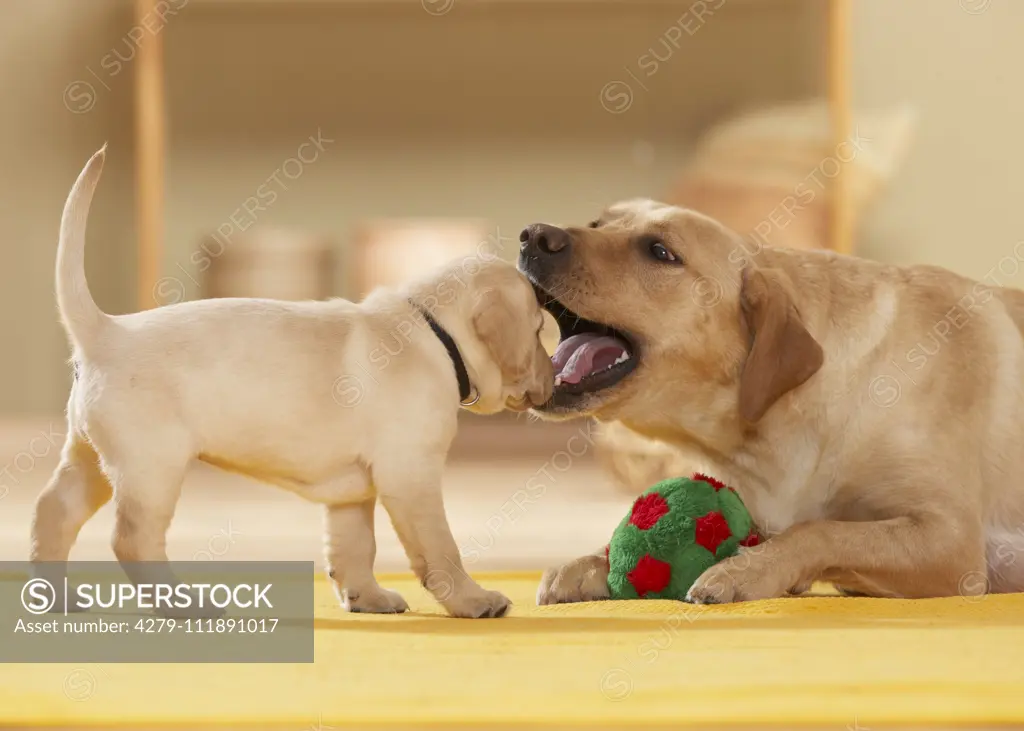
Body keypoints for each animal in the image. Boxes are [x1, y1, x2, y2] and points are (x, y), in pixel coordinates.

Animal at [29, 146, 552, 614]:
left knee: (53, 512)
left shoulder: (353, 490)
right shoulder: (412, 474)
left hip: (91, 459)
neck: (433, 329)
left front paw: (366, 598)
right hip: (151, 467)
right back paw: (185, 605)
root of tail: (106, 331)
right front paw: (473, 600)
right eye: (539, 329)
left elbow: (354, 547)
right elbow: (441, 548)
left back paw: (56, 598)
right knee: (132, 540)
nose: (552, 372)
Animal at [516, 196, 1024, 602]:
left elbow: (819, 530)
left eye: (660, 251)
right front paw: (590, 562)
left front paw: (746, 571)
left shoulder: (952, 542)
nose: (533, 235)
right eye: (597, 223)